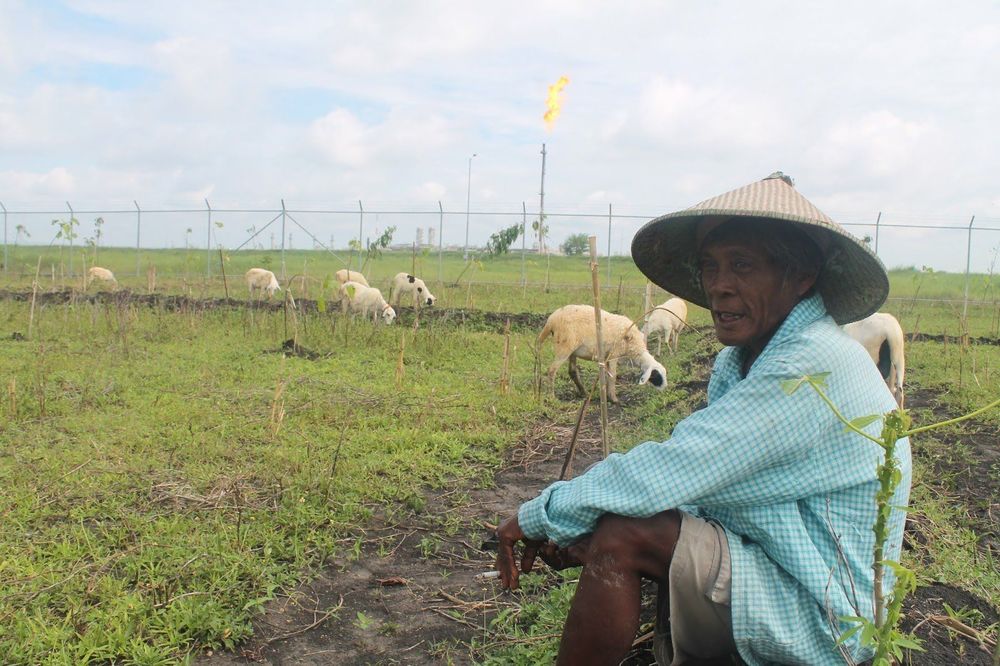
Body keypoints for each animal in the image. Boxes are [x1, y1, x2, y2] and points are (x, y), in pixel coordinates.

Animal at [536, 304, 668, 402]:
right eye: (657, 375)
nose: (665, 389)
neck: (634, 348)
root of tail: (551, 321)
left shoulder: (606, 357)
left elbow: (606, 376)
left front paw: (607, 395)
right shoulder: (614, 354)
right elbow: (613, 376)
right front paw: (614, 399)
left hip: (572, 350)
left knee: (572, 371)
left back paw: (584, 393)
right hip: (564, 346)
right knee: (552, 370)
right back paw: (552, 397)